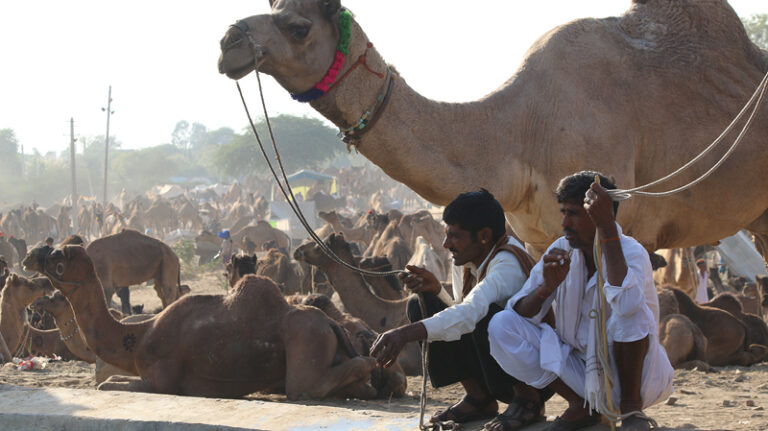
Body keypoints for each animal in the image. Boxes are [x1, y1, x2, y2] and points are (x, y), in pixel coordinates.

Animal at [25, 246, 380, 402]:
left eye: (57, 257)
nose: (30, 255)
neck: (137, 337)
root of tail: (330, 324)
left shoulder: (162, 379)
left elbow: (107, 384)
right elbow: (107, 381)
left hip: (306, 339)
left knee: (305, 386)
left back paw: (370, 369)